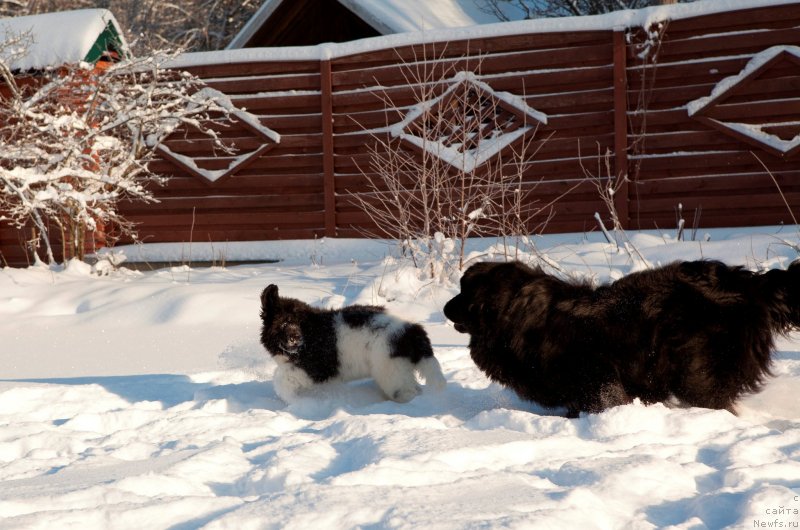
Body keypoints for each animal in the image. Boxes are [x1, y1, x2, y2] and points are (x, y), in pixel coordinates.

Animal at [260, 284, 444, 400]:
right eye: (284, 323)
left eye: (300, 323)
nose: (296, 339)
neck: (311, 334)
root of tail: (411, 329)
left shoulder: (315, 369)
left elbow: (281, 378)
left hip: (392, 370)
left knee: (407, 391)